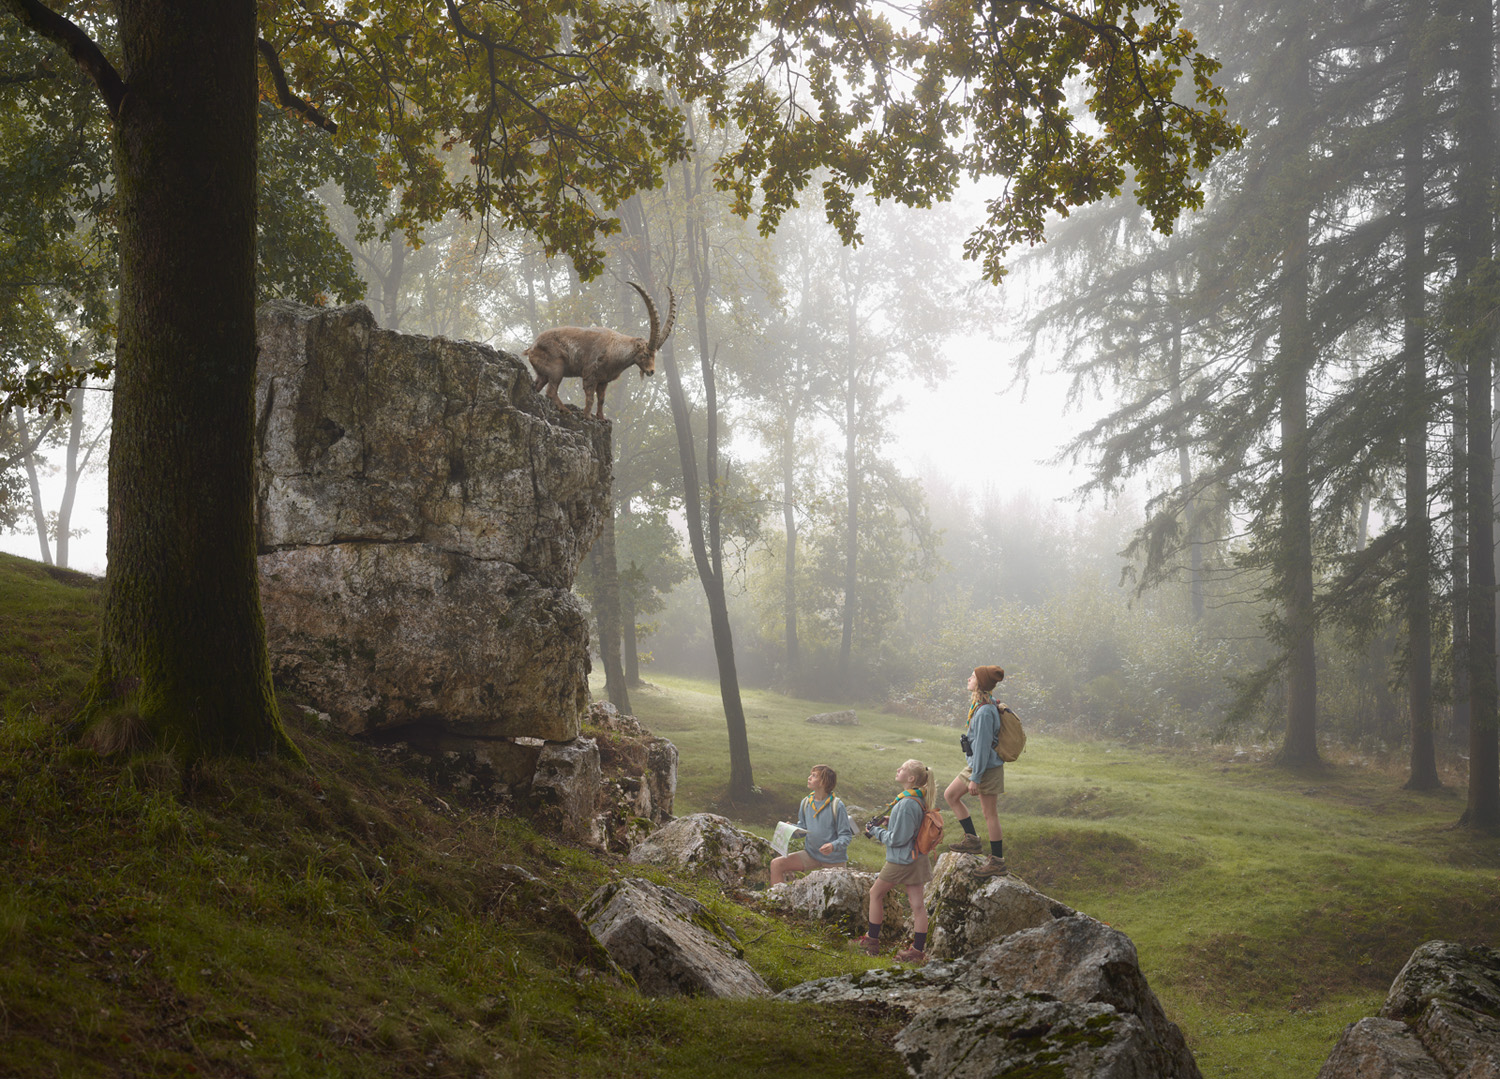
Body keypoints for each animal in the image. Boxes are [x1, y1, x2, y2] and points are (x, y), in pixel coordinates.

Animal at [522, 280, 675, 420]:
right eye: (645, 354)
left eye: (655, 355)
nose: (651, 371)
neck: (615, 348)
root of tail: (531, 348)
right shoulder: (590, 374)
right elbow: (590, 397)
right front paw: (587, 416)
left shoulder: (603, 380)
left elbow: (601, 399)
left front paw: (601, 418)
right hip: (556, 368)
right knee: (551, 391)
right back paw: (566, 410)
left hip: (543, 373)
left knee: (538, 386)